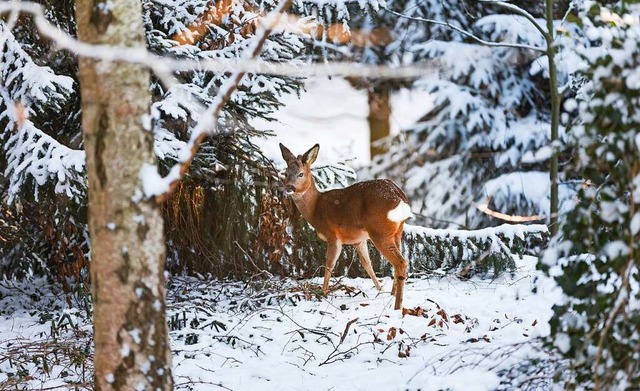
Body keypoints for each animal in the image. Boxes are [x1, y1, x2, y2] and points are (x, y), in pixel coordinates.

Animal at [282, 142, 412, 310]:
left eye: (300, 174)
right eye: (285, 173)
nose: (289, 188)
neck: (315, 209)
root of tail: (400, 197)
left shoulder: (332, 235)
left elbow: (329, 264)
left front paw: (323, 293)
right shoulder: (358, 239)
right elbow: (367, 264)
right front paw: (379, 289)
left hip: (380, 231)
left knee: (401, 263)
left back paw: (397, 306)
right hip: (397, 230)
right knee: (399, 261)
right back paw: (392, 293)